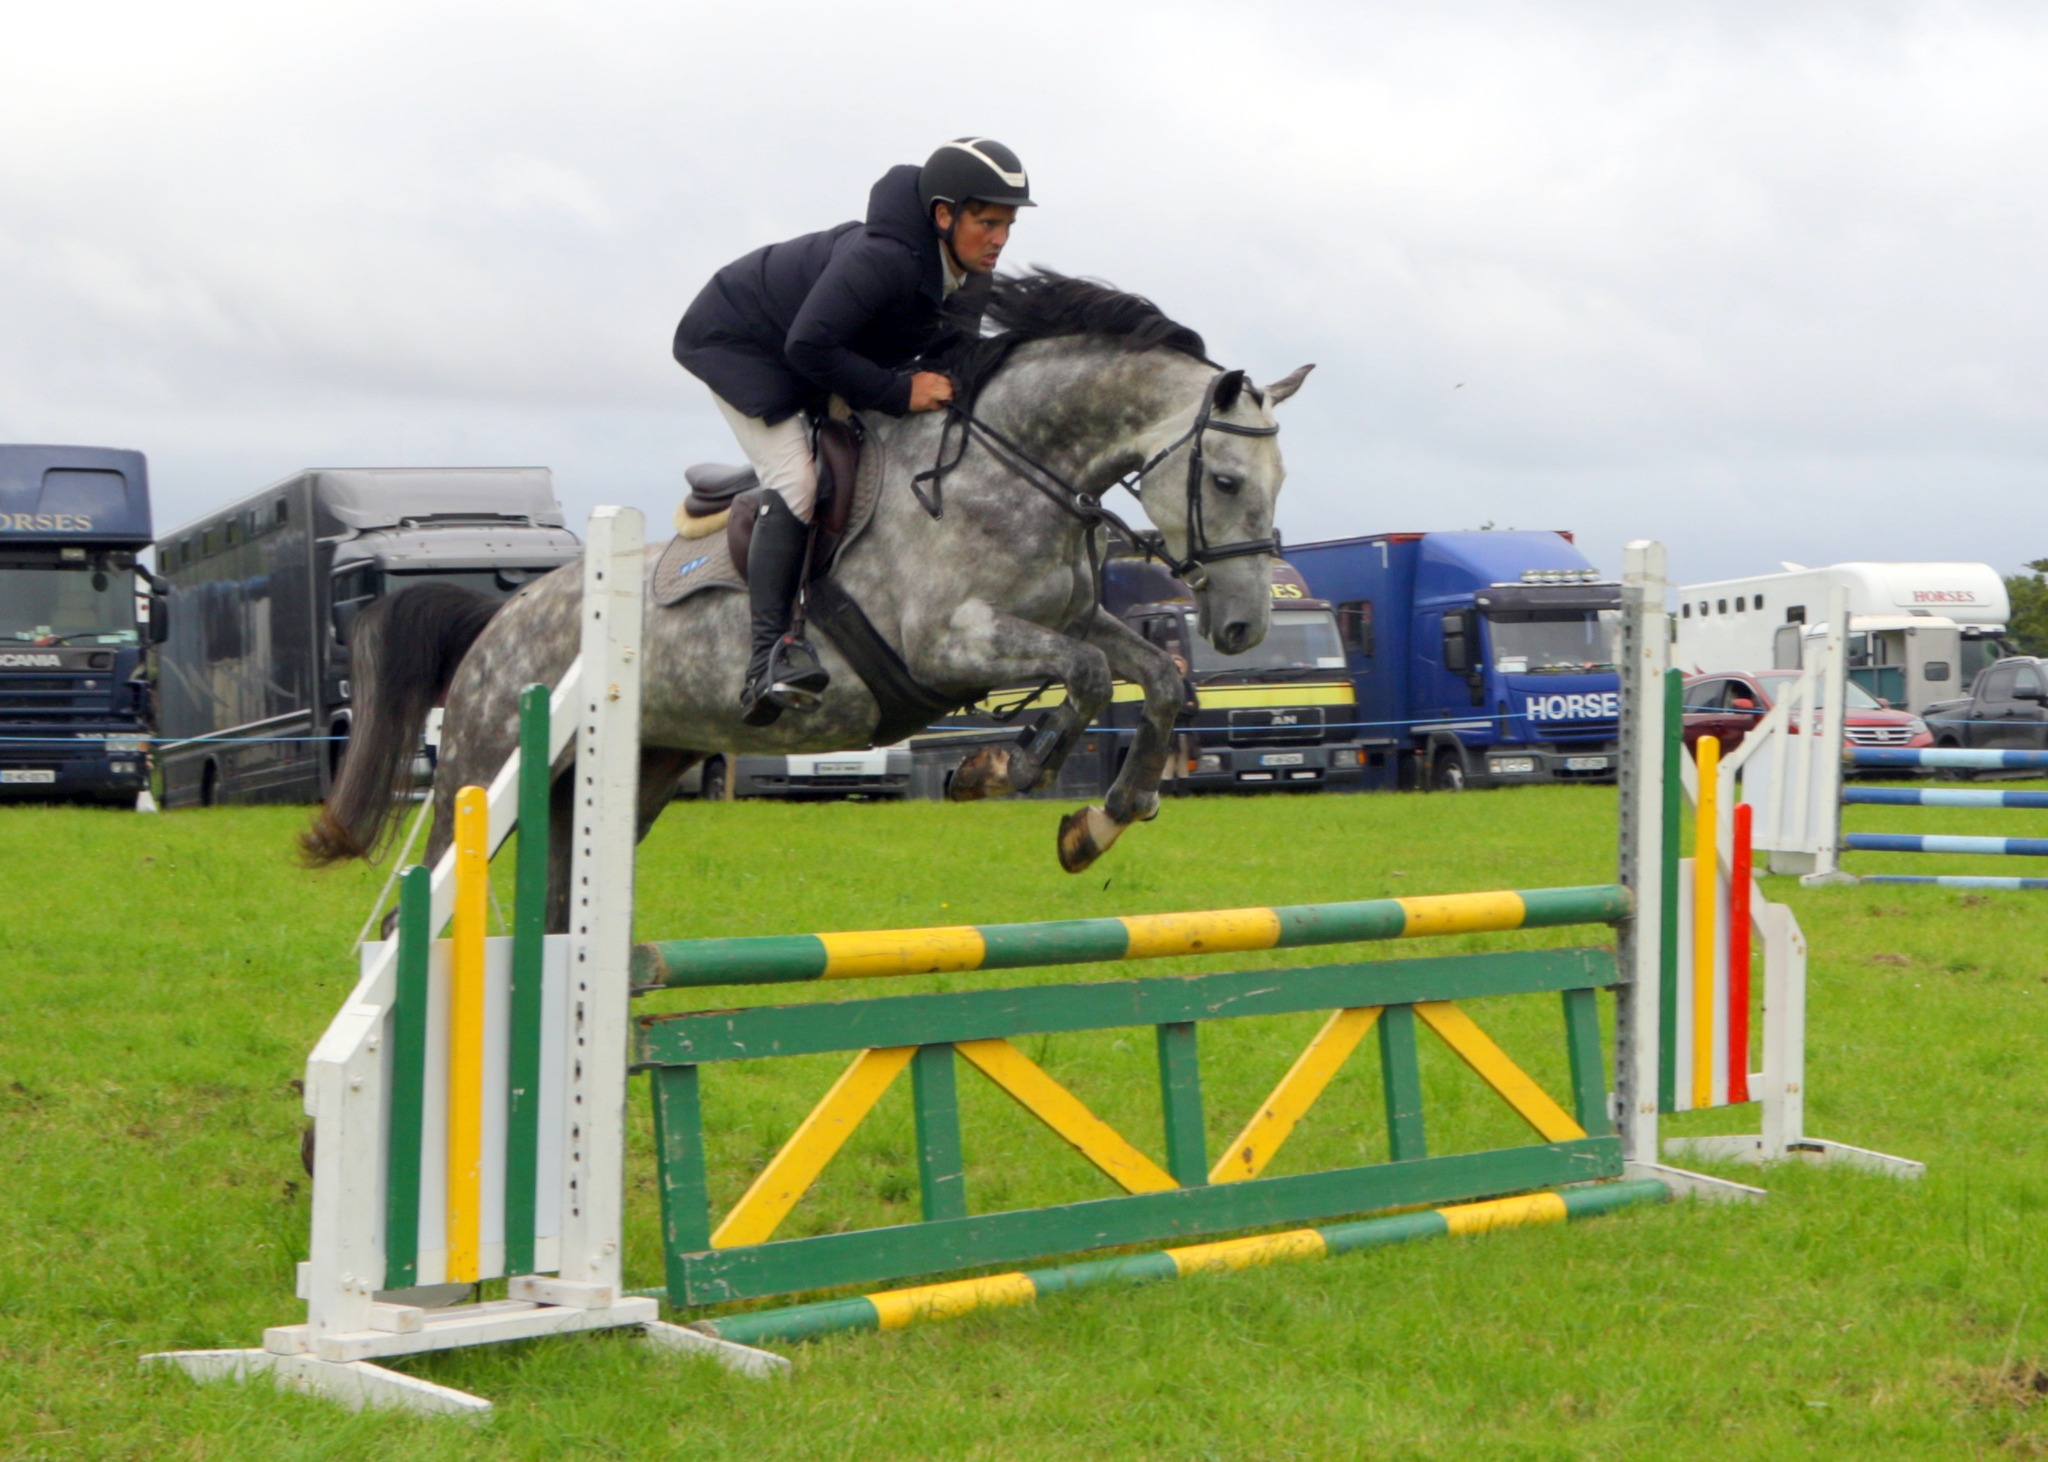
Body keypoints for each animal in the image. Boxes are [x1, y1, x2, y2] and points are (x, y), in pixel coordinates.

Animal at [302, 271, 1311, 929]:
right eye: (1225, 479)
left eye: (1278, 480)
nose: (1241, 626)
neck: (1010, 466)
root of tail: (496, 624)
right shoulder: (950, 644)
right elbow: (1094, 677)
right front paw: (1000, 770)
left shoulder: (1068, 616)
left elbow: (1157, 681)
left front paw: (1099, 823)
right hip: (481, 775)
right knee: (408, 920)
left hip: (616, 783)